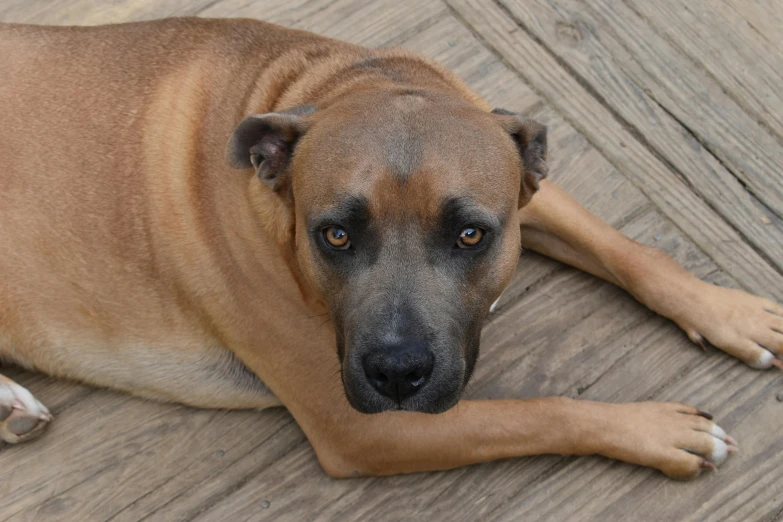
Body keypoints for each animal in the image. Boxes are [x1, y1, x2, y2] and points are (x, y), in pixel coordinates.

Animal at [1, 18, 783, 478]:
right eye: (335, 234)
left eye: (470, 234)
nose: (397, 373)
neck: (325, 85)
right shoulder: (369, 429)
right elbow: (537, 410)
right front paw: (655, 430)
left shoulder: (522, 184)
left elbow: (631, 252)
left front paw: (731, 313)